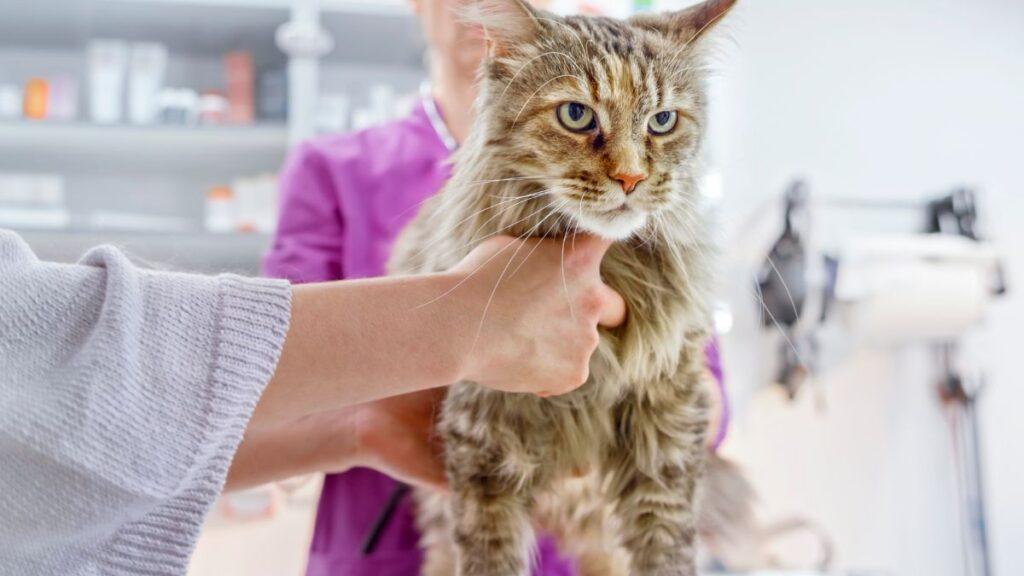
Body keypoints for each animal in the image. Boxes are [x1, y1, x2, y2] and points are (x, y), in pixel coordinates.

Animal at [389, 2, 737, 569]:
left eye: (662, 122)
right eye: (576, 115)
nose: (631, 179)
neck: (610, 267)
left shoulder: (668, 423)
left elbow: (666, 548)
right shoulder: (483, 446)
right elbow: (489, 556)